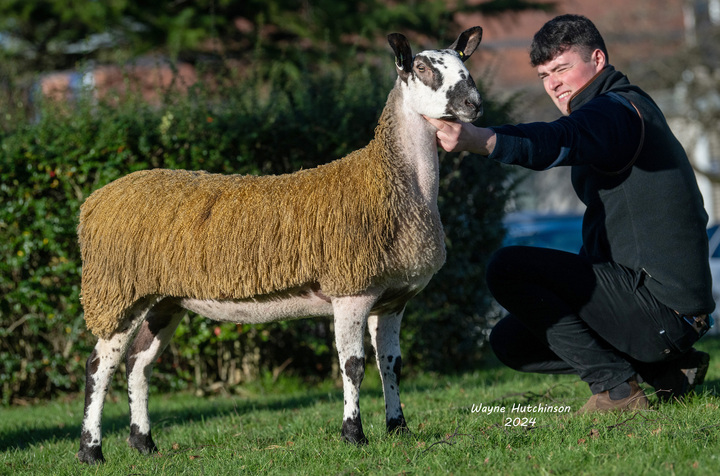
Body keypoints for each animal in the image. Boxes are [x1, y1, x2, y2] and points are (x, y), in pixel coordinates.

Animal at [76, 27, 484, 464]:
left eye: (463, 63)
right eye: (422, 68)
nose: (473, 104)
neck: (392, 180)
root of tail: (96, 201)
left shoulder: (393, 298)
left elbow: (391, 365)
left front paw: (399, 429)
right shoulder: (350, 291)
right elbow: (353, 366)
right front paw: (353, 435)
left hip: (164, 300)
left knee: (138, 363)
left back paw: (144, 444)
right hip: (118, 291)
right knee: (99, 365)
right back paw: (91, 451)